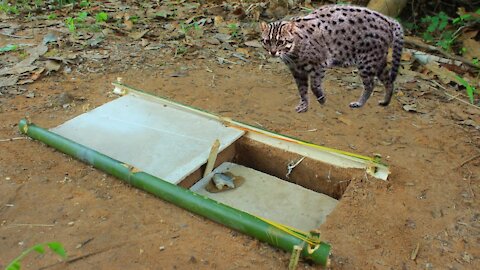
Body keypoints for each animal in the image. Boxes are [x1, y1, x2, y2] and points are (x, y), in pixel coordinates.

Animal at [260, 4, 404, 112]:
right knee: (389, 81)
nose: (273, 52)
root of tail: (388, 20)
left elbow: (314, 86)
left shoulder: (320, 65)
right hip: (378, 61)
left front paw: (322, 99)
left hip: (367, 62)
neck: (293, 53)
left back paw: (359, 103)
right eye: (267, 41)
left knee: (371, 84)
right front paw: (304, 105)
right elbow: (302, 90)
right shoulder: (297, 71)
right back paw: (385, 102)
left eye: (280, 42)